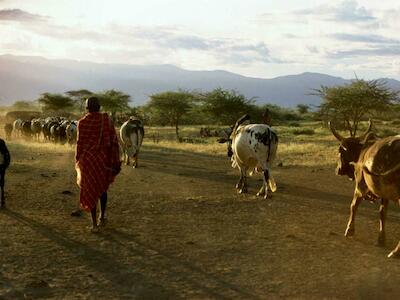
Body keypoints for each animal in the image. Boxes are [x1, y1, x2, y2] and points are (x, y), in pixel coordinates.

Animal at [330, 120, 400, 258]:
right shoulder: (384, 194)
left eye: (340, 151)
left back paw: (395, 252)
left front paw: (349, 230)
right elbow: (382, 213)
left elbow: (353, 206)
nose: (337, 170)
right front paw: (381, 239)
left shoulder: (360, 187)